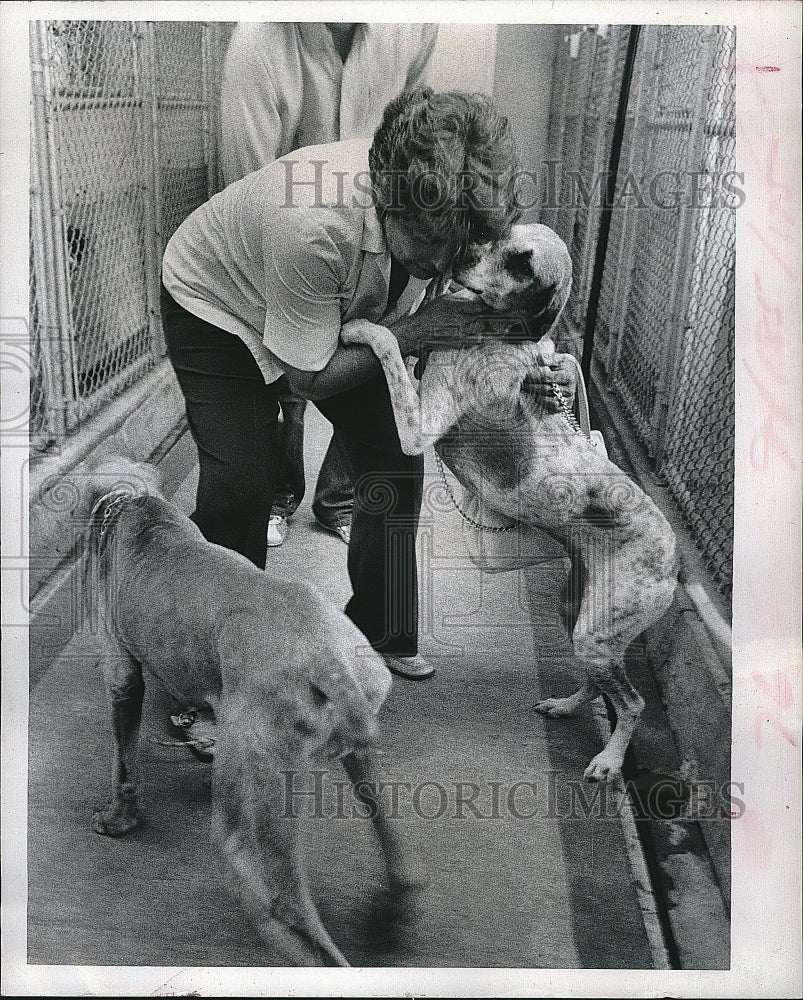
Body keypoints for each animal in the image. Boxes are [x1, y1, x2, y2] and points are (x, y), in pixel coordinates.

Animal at [81, 458, 420, 960]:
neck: (136, 506)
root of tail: (327, 660)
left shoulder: (122, 671)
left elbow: (123, 762)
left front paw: (119, 820)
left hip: (248, 822)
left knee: (290, 913)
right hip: (357, 741)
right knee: (398, 854)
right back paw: (392, 912)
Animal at [340, 223, 680, 784]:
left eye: (524, 263)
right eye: (494, 235)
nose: (460, 254)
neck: (497, 333)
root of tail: (675, 560)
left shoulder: (418, 427)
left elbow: (388, 342)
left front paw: (360, 327)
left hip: (597, 632)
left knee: (632, 703)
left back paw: (609, 761)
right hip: (576, 613)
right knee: (597, 683)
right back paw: (566, 705)